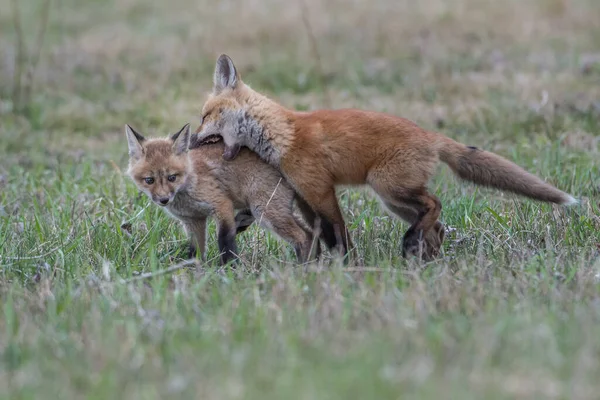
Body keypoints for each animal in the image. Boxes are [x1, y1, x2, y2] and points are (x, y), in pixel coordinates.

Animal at [125, 123, 324, 264]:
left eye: (172, 177)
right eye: (149, 180)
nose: (164, 199)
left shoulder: (221, 205)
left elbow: (225, 241)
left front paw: (229, 270)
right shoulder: (193, 220)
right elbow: (195, 251)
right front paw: (195, 272)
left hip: (265, 212)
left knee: (302, 237)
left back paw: (303, 268)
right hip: (275, 210)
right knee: (311, 233)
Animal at [192, 54, 576, 260]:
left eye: (205, 116)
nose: (191, 141)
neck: (284, 134)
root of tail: (429, 135)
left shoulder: (319, 190)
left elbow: (338, 233)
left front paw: (347, 267)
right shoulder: (303, 195)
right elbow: (322, 234)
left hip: (387, 185)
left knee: (435, 205)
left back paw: (413, 247)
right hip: (393, 200)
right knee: (436, 223)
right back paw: (426, 260)